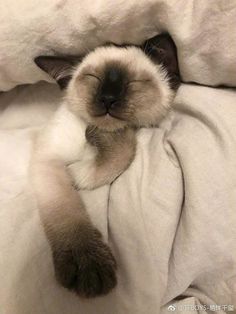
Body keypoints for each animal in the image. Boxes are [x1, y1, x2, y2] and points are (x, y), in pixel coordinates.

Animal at [30, 33, 179, 298]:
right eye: (93, 78)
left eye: (134, 82)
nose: (108, 99)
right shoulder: (48, 161)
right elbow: (66, 212)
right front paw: (88, 266)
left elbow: (121, 152)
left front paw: (78, 171)